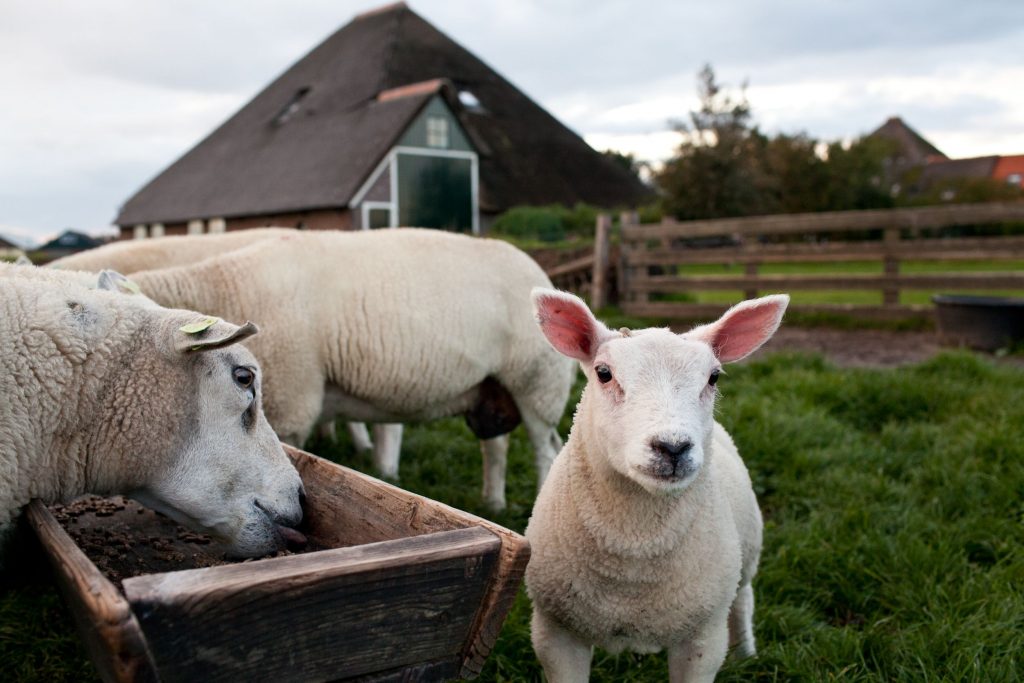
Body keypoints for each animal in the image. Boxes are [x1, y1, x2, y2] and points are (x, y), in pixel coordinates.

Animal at [120, 231, 581, 511]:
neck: (223, 288)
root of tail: (536, 267)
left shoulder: (291, 398)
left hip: (538, 383)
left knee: (545, 449)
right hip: (490, 388)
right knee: (496, 446)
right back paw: (492, 502)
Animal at [524, 290, 786, 683]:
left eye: (713, 377)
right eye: (603, 373)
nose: (673, 447)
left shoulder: (703, 638)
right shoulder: (555, 631)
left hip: (747, 555)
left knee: (744, 600)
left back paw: (746, 653)